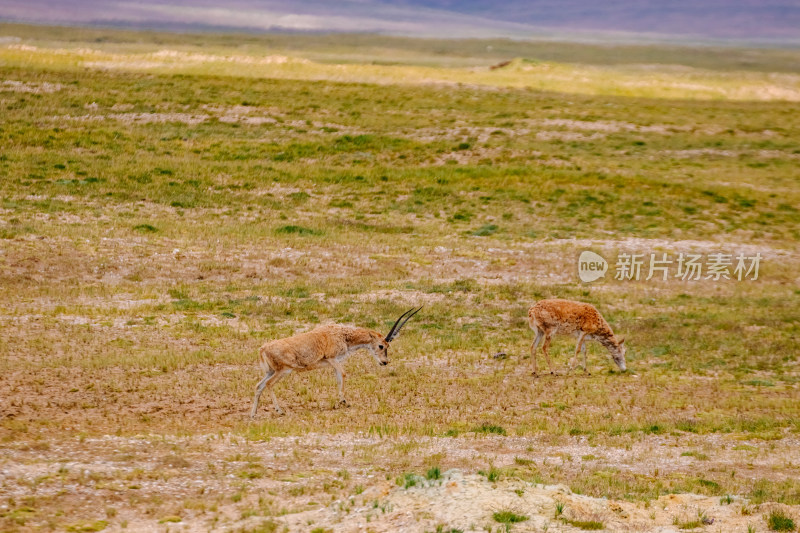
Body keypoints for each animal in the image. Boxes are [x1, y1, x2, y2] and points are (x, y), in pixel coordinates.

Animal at [252, 308, 424, 416]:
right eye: (381, 345)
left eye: (388, 346)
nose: (384, 362)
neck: (343, 334)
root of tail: (263, 348)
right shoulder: (332, 359)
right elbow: (344, 374)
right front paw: (345, 402)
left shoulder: (334, 363)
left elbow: (338, 378)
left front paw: (339, 402)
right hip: (283, 371)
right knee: (269, 384)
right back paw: (279, 411)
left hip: (271, 371)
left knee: (259, 386)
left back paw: (253, 414)